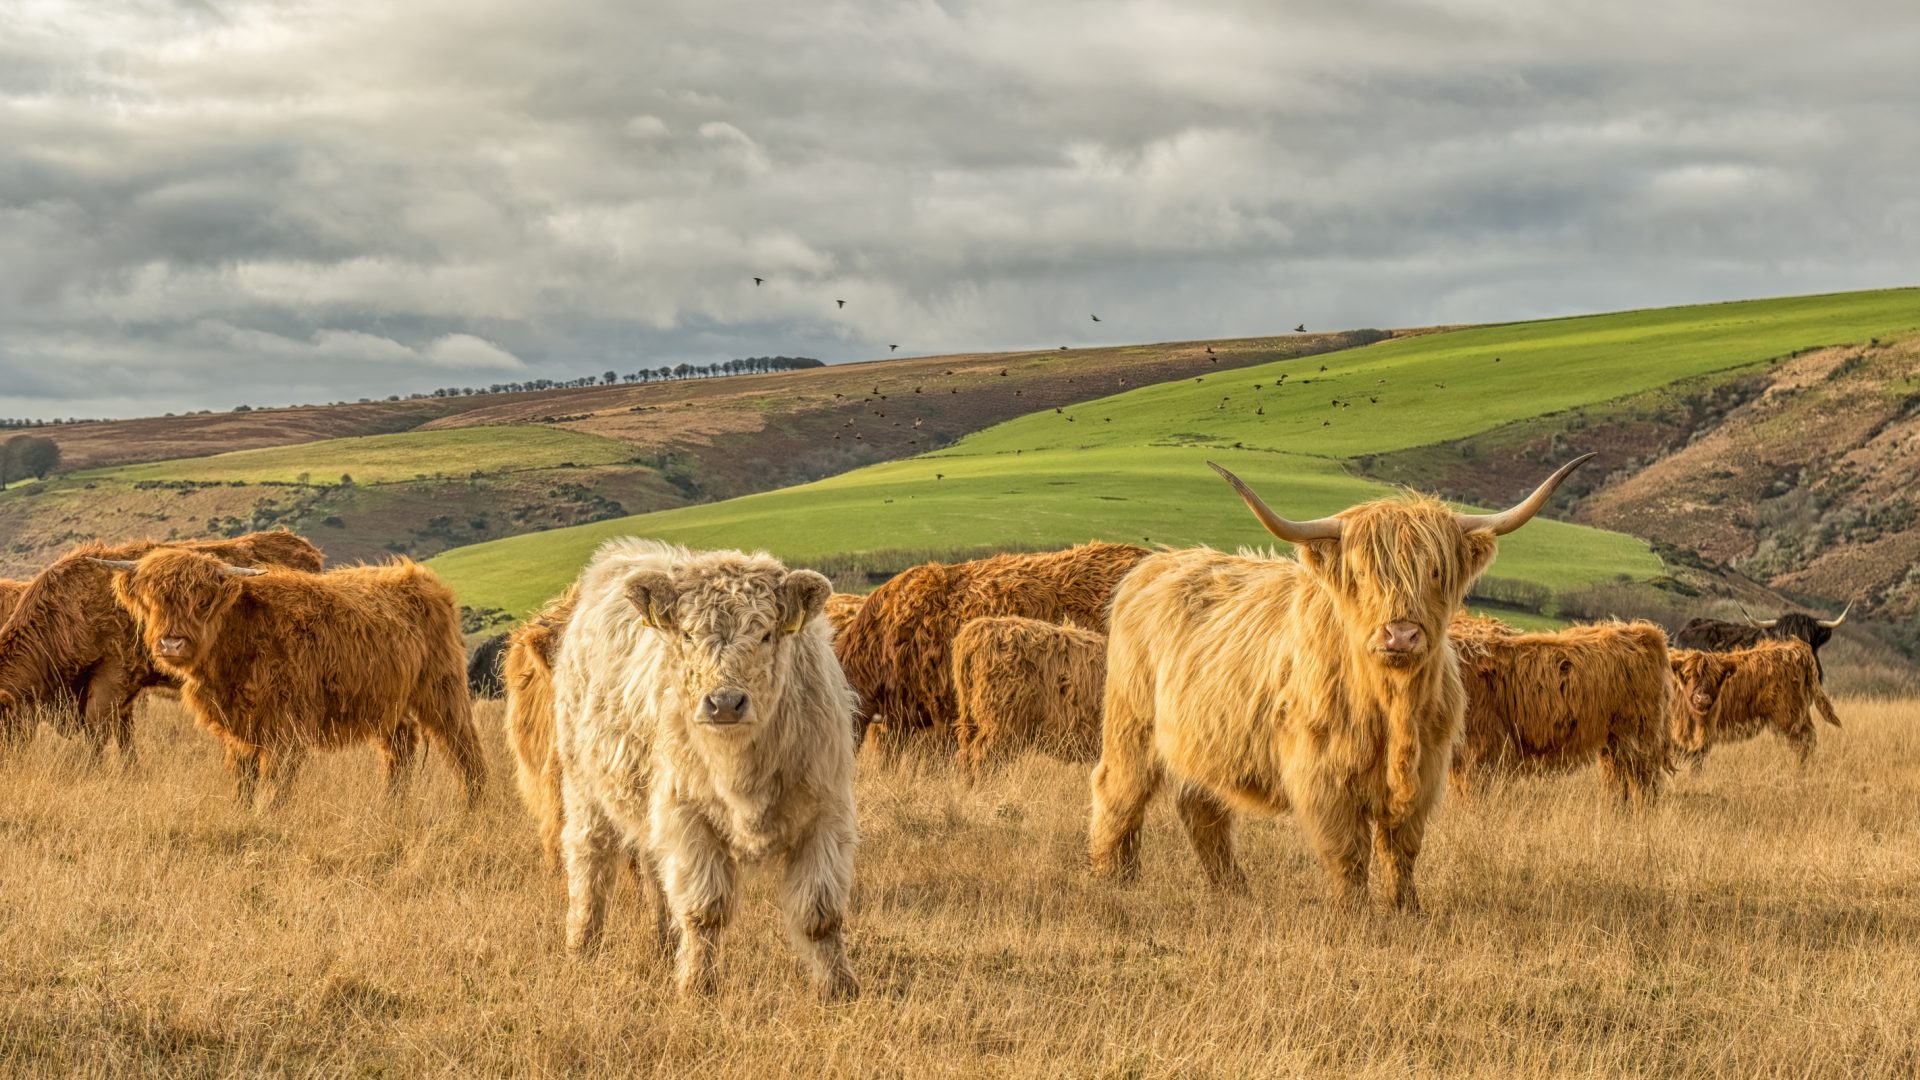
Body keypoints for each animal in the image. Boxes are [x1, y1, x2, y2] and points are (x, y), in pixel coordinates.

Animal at [552, 534, 860, 999]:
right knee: (590, 861)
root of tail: (622, 552)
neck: (742, 773)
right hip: (583, 785)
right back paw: (582, 946)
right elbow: (704, 911)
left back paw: (663, 944)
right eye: (687, 633)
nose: (725, 703)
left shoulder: (826, 814)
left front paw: (840, 989)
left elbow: (819, 916)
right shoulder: (687, 817)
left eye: (765, 633)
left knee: (654, 871)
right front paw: (697, 986)